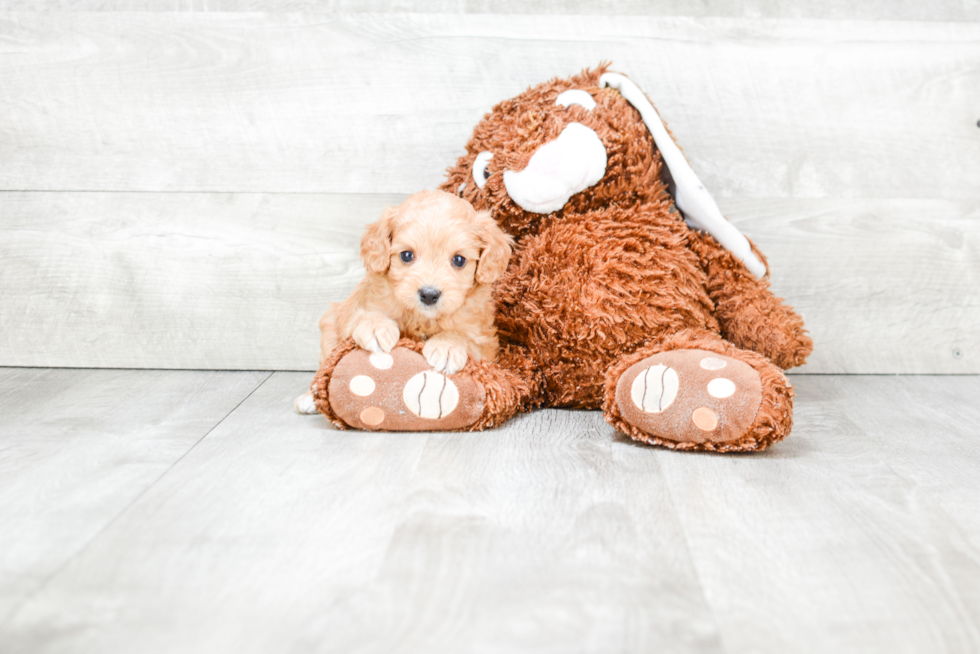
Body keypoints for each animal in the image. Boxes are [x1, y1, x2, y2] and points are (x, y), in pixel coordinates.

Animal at [294, 190, 512, 416]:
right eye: (407, 255)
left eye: (459, 260)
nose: (429, 294)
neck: (422, 318)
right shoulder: (356, 310)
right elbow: (365, 315)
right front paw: (376, 328)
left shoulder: (484, 341)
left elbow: (463, 336)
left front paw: (447, 346)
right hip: (329, 327)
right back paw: (310, 398)